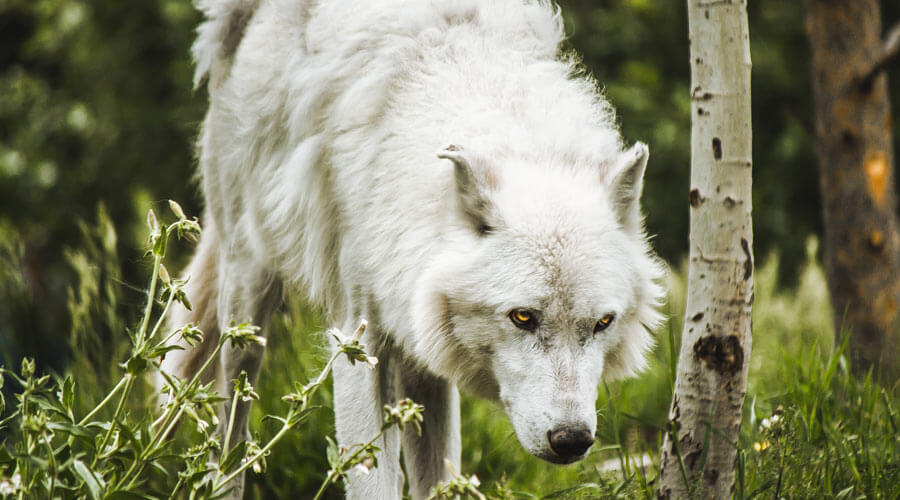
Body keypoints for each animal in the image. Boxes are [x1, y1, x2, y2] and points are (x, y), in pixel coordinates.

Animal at [160, 0, 668, 496]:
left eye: (603, 323)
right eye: (523, 317)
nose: (572, 440)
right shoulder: (356, 347)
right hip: (247, 306)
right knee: (229, 433)